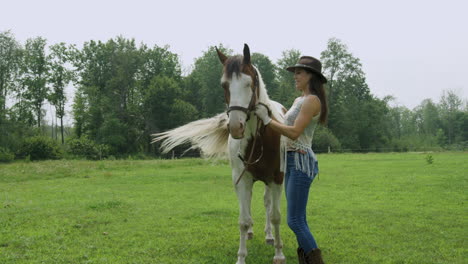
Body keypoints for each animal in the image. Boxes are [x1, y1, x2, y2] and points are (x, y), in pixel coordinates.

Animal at [152, 44, 288, 262]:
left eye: (249, 83)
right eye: (225, 85)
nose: (235, 127)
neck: (259, 139)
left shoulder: (277, 179)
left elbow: (276, 216)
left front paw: (279, 253)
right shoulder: (241, 179)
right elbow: (243, 220)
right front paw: (241, 256)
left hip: (268, 182)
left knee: (267, 204)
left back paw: (269, 236)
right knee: (250, 203)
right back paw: (252, 233)